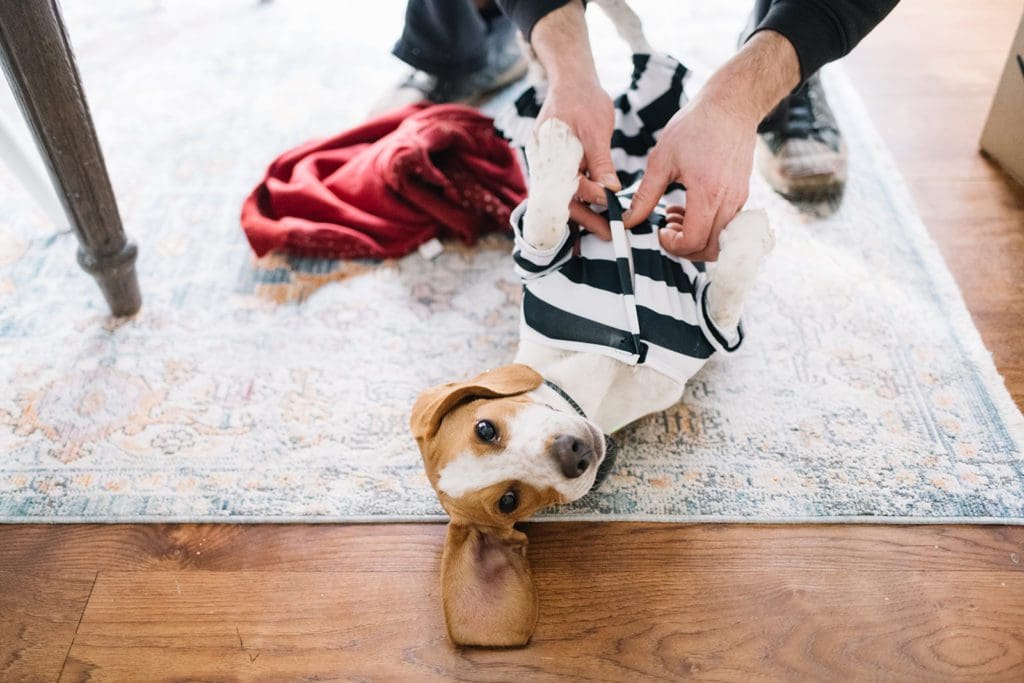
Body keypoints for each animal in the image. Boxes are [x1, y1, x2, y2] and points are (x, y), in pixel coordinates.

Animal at [405, 0, 770, 647]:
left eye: (485, 428)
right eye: (508, 501)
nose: (574, 452)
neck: (596, 380)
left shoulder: (548, 260)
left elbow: (543, 228)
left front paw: (555, 156)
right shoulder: (712, 328)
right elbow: (725, 296)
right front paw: (749, 236)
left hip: (636, 128)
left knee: (633, 64)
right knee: (643, 54)